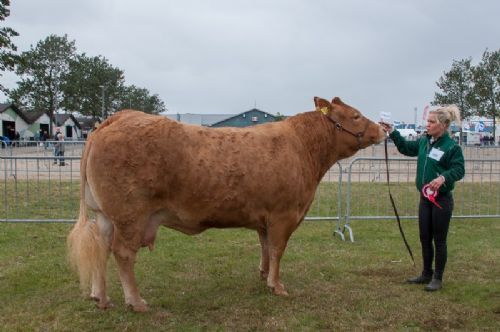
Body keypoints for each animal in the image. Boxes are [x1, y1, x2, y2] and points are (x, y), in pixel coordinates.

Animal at [67, 96, 386, 312]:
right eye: (356, 115)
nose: (384, 128)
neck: (304, 149)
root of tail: (116, 118)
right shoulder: (284, 215)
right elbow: (278, 250)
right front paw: (277, 286)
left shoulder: (265, 218)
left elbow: (265, 248)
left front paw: (263, 275)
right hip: (130, 214)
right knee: (122, 253)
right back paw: (136, 301)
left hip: (105, 215)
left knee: (101, 248)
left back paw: (100, 297)